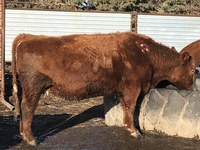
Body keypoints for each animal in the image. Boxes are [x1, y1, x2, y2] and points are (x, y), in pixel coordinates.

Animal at [12, 32, 195, 145]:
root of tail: (28, 37)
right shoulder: (132, 88)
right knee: (27, 108)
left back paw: (23, 135)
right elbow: (131, 107)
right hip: (33, 87)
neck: (145, 54)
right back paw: (31, 138)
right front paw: (134, 131)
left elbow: (125, 108)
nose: (192, 88)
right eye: (193, 70)